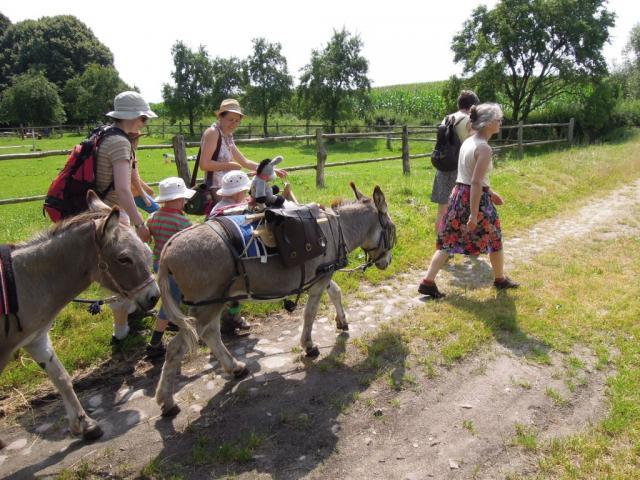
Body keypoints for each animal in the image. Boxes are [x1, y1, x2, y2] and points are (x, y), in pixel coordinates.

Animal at [0, 192, 159, 447]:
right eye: (124, 259)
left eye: (146, 251)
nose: (154, 297)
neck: (24, 282)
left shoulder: (36, 339)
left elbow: (62, 378)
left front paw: (85, 425)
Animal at [154, 183, 396, 417]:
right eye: (392, 229)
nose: (387, 262)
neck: (337, 229)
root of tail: (168, 249)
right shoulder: (319, 281)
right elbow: (310, 314)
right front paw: (309, 346)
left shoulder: (323, 275)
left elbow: (336, 292)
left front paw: (342, 322)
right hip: (207, 306)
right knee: (178, 347)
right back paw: (167, 401)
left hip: (213, 304)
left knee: (211, 334)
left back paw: (235, 367)